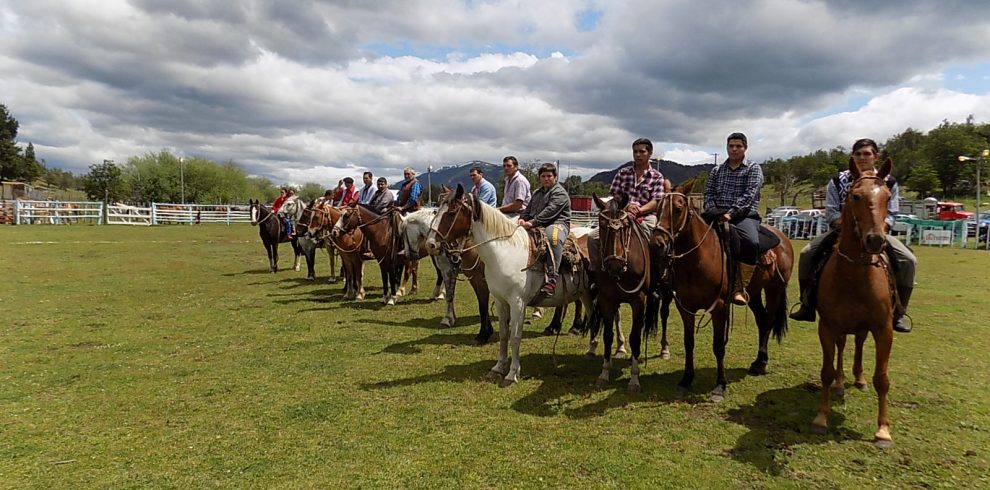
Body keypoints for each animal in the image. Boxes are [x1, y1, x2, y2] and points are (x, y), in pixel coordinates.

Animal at [428, 184, 596, 386]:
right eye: (437, 210)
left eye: (452, 212)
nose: (430, 244)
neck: (505, 252)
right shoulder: (500, 301)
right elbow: (503, 334)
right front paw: (498, 367)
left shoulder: (517, 303)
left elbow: (515, 337)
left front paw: (512, 373)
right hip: (584, 293)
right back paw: (587, 347)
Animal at [656, 181, 796, 402]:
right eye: (656, 208)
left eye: (678, 209)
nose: (657, 242)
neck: (698, 257)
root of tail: (782, 237)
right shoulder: (685, 307)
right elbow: (689, 342)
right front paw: (686, 379)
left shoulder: (719, 307)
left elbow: (718, 346)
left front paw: (720, 385)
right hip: (753, 294)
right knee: (762, 320)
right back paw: (757, 362)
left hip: (775, 289)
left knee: (769, 320)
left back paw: (761, 363)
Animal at [812, 158, 900, 448]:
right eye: (855, 196)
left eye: (887, 197)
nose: (875, 240)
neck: (853, 274)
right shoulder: (827, 326)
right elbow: (827, 371)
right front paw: (821, 418)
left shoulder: (884, 329)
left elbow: (882, 378)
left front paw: (883, 430)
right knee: (843, 347)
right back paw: (841, 384)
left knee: (859, 344)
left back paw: (859, 379)